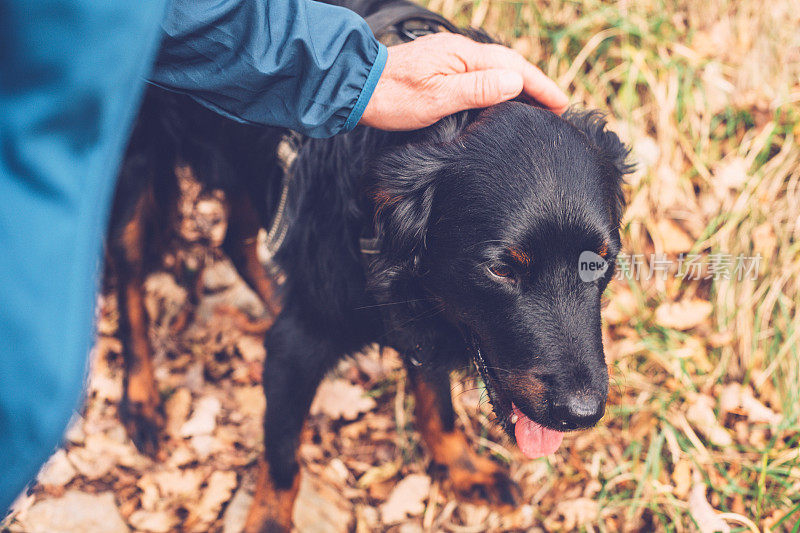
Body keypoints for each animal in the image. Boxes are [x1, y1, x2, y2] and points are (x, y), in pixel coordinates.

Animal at [106, 2, 632, 528]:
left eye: (598, 263)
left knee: (236, 240)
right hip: (135, 163)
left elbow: (436, 406)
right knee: (128, 276)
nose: (582, 414)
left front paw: (462, 469)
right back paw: (141, 400)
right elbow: (283, 459)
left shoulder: (424, 318)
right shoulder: (296, 347)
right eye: (501, 269)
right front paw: (270, 521)